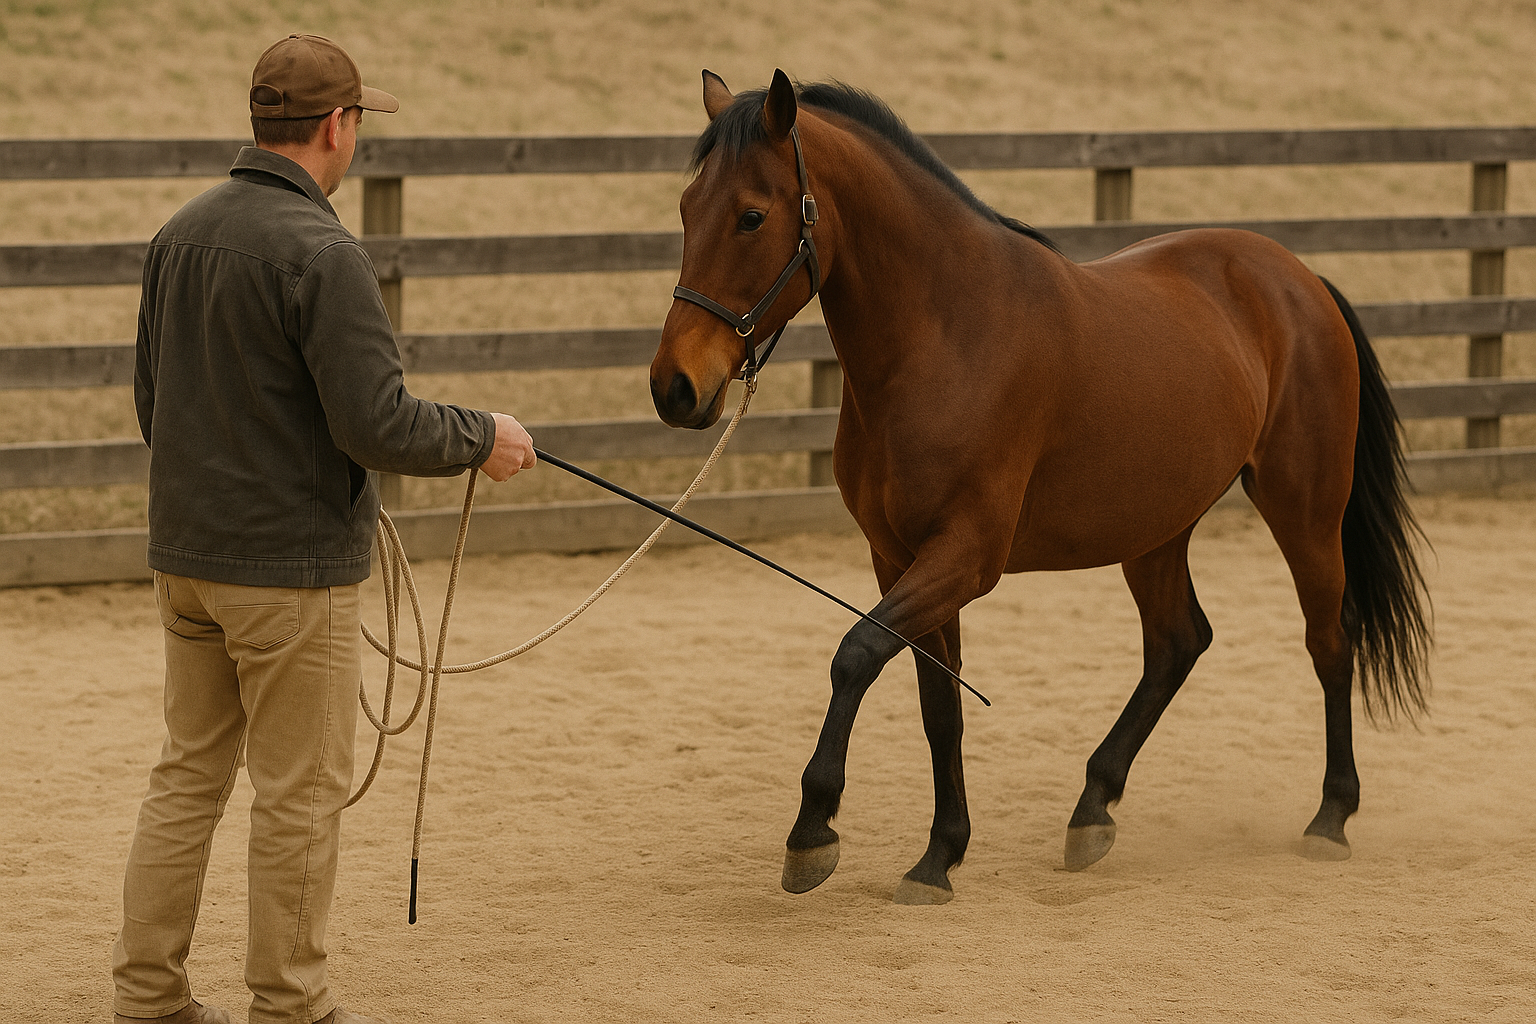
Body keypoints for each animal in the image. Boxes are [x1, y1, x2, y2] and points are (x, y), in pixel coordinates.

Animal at [650, 69, 1431, 905]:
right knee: (1178, 642)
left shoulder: (964, 558)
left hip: (1304, 510)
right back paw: (1093, 808)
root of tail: (1298, 277)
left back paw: (1330, 817)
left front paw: (813, 831)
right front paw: (940, 856)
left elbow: (855, 653)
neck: (950, 337)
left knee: (1329, 640)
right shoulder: (899, 560)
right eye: (686, 208)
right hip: (1155, 529)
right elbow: (939, 706)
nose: (673, 387)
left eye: (751, 216)